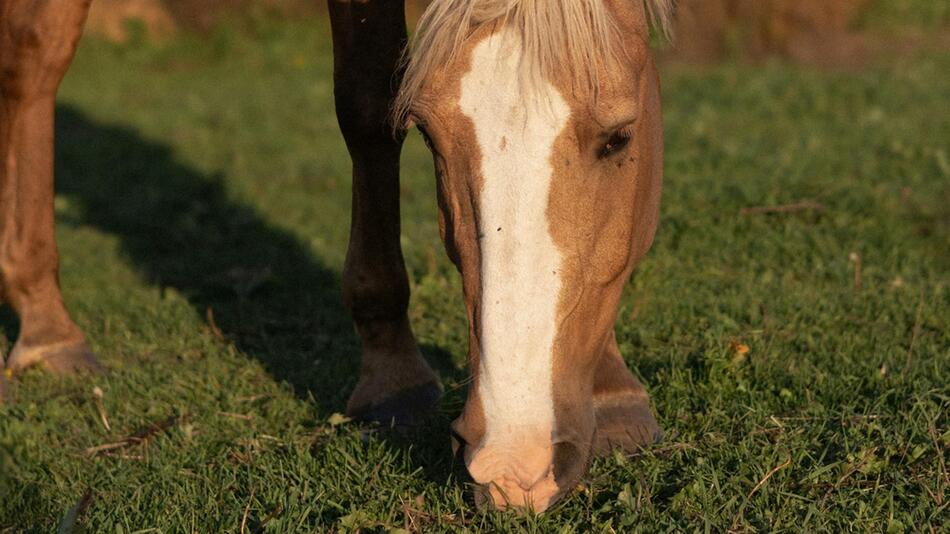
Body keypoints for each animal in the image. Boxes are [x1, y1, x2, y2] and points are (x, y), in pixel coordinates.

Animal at [0, 0, 672, 512]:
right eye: (431, 137)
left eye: (620, 139)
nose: (513, 466)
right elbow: (370, 98)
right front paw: (392, 376)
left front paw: (614, 392)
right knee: (36, 56)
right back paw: (48, 328)